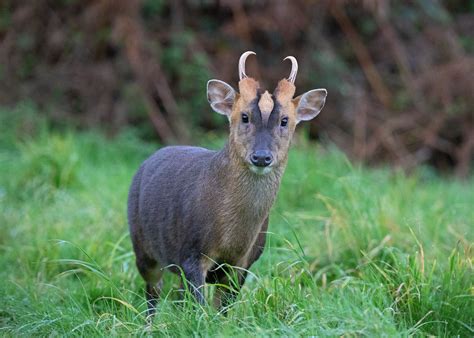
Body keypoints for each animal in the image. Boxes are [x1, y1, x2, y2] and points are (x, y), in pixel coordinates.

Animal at [127, 51, 326, 318]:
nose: (261, 157)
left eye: (285, 120)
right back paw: (150, 322)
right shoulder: (191, 252)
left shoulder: (244, 262)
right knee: (153, 291)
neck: (232, 236)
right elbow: (199, 305)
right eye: (244, 116)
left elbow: (223, 308)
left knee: (176, 295)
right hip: (142, 245)